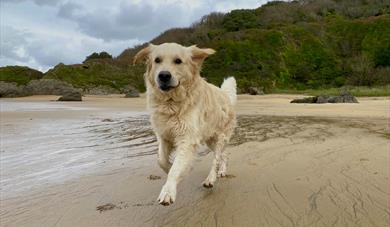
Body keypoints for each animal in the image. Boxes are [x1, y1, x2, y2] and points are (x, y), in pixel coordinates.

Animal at [134, 42, 236, 206]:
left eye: (178, 61)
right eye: (157, 60)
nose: (164, 75)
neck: (170, 102)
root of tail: (225, 94)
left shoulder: (187, 139)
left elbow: (176, 167)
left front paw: (168, 191)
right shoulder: (164, 136)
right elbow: (161, 160)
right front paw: (171, 169)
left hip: (220, 136)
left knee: (216, 158)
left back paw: (210, 179)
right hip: (210, 139)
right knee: (224, 155)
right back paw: (222, 171)